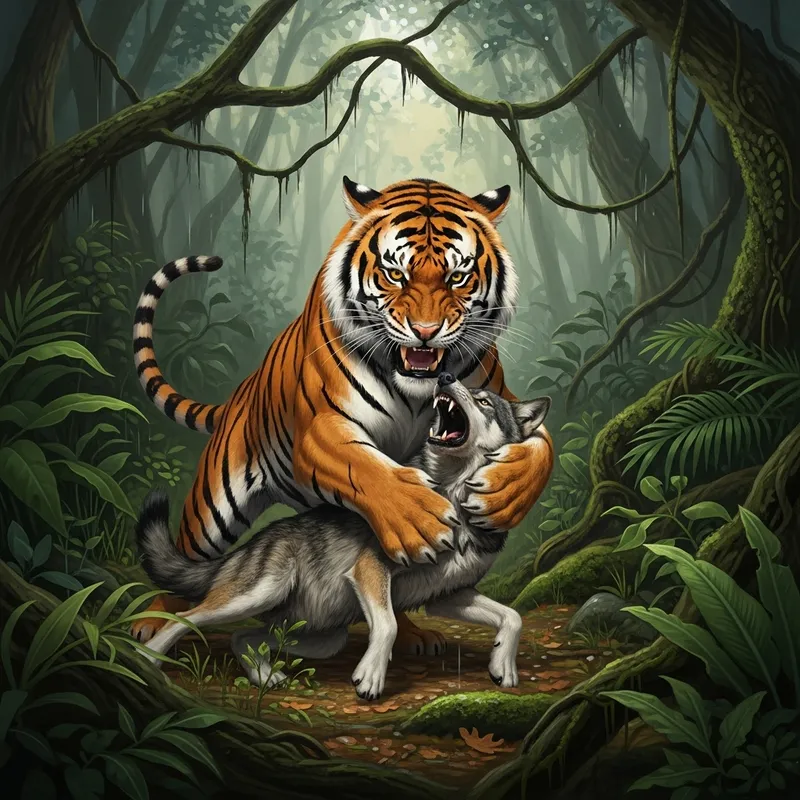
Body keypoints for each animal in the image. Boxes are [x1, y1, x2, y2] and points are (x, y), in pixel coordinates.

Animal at [130, 176, 554, 655]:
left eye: (457, 277)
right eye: (395, 274)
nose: (426, 333)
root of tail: (242, 392)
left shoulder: (505, 397)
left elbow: (541, 449)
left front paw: (505, 494)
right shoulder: (321, 429)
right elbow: (367, 469)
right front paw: (420, 520)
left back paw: (414, 634)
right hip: (213, 511)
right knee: (184, 558)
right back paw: (152, 622)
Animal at [135, 373, 551, 699]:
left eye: (484, 400)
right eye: (468, 388)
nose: (445, 376)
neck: (454, 497)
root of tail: (251, 544)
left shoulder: (448, 595)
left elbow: (512, 616)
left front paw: (503, 666)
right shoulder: (369, 572)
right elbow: (389, 624)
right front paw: (371, 678)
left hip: (320, 636)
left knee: (243, 639)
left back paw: (267, 676)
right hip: (255, 595)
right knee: (183, 618)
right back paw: (147, 661)